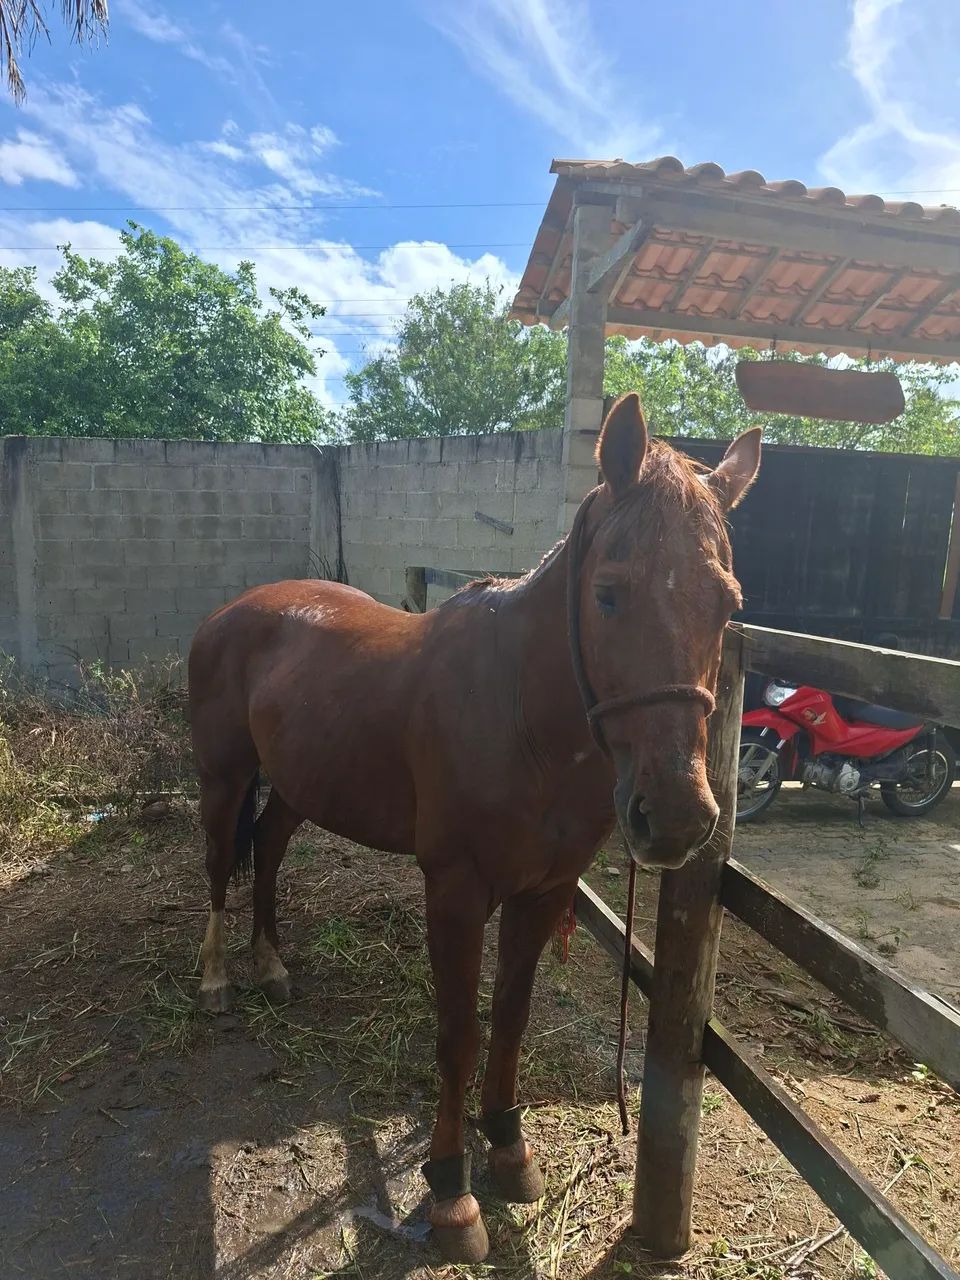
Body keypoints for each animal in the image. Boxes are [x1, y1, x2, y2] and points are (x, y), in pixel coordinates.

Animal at [188, 393, 760, 1263]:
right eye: (609, 593)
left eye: (727, 606)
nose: (677, 816)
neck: (519, 710)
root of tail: (234, 609)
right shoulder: (455, 893)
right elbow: (459, 1030)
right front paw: (453, 1190)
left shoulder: (544, 891)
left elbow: (512, 1017)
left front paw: (509, 1148)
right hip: (223, 779)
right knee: (223, 862)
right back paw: (219, 977)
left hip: (300, 784)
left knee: (273, 848)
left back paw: (271, 963)